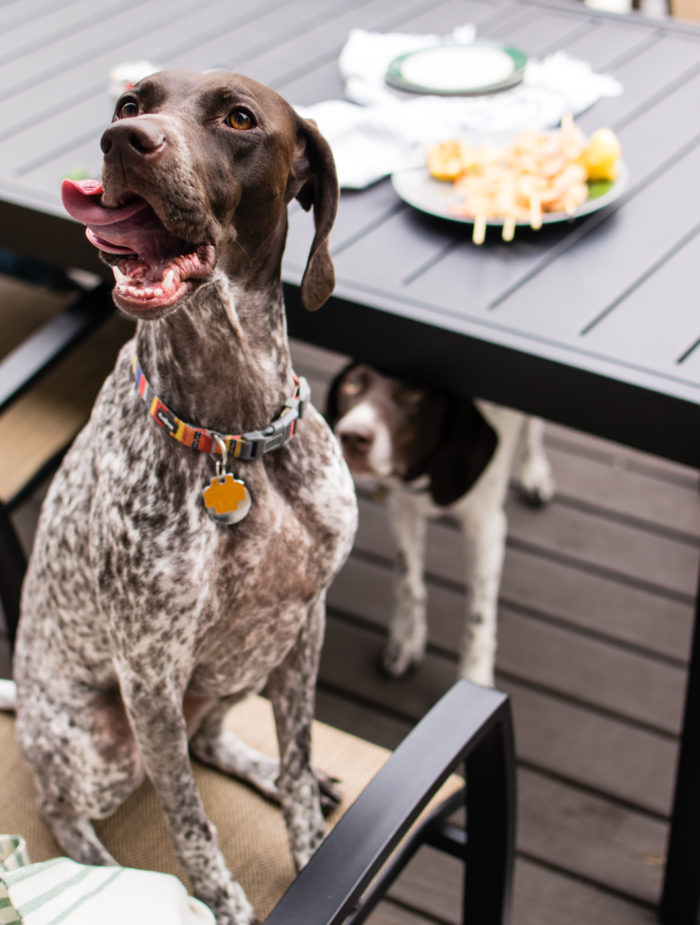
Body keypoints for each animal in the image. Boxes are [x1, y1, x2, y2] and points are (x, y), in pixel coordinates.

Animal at [13, 67, 358, 924]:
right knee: (60, 807)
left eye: (239, 118)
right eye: (130, 105)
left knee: (213, 741)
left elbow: (297, 763)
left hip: (241, 665)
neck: (233, 435)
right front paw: (221, 905)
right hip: (100, 740)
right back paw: (99, 870)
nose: (122, 142)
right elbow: (191, 824)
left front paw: (309, 840)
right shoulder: (151, 674)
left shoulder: (304, 625)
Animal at [326, 360, 556, 684]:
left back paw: (534, 471)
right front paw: (406, 640)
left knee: (534, 426)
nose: (353, 435)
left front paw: (475, 680)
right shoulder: (402, 508)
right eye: (352, 384)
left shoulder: (486, 528)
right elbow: (409, 584)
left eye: (415, 394)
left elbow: (479, 619)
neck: (429, 473)